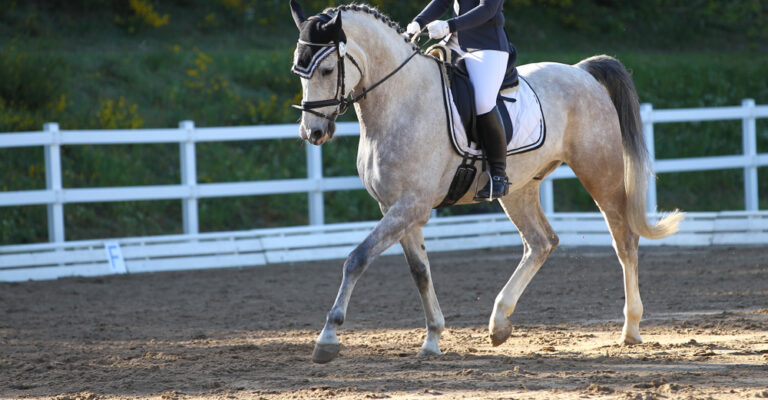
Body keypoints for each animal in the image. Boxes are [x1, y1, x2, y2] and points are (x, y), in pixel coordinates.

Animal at [288, 2, 683, 364]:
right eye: (299, 71)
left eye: (327, 69)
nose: (313, 133)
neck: (400, 100)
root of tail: (581, 72)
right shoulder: (397, 207)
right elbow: (420, 271)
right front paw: (432, 339)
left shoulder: (411, 206)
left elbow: (357, 258)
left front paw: (328, 338)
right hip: (519, 188)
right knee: (541, 242)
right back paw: (499, 323)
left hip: (600, 172)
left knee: (624, 241)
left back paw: (630, 328)